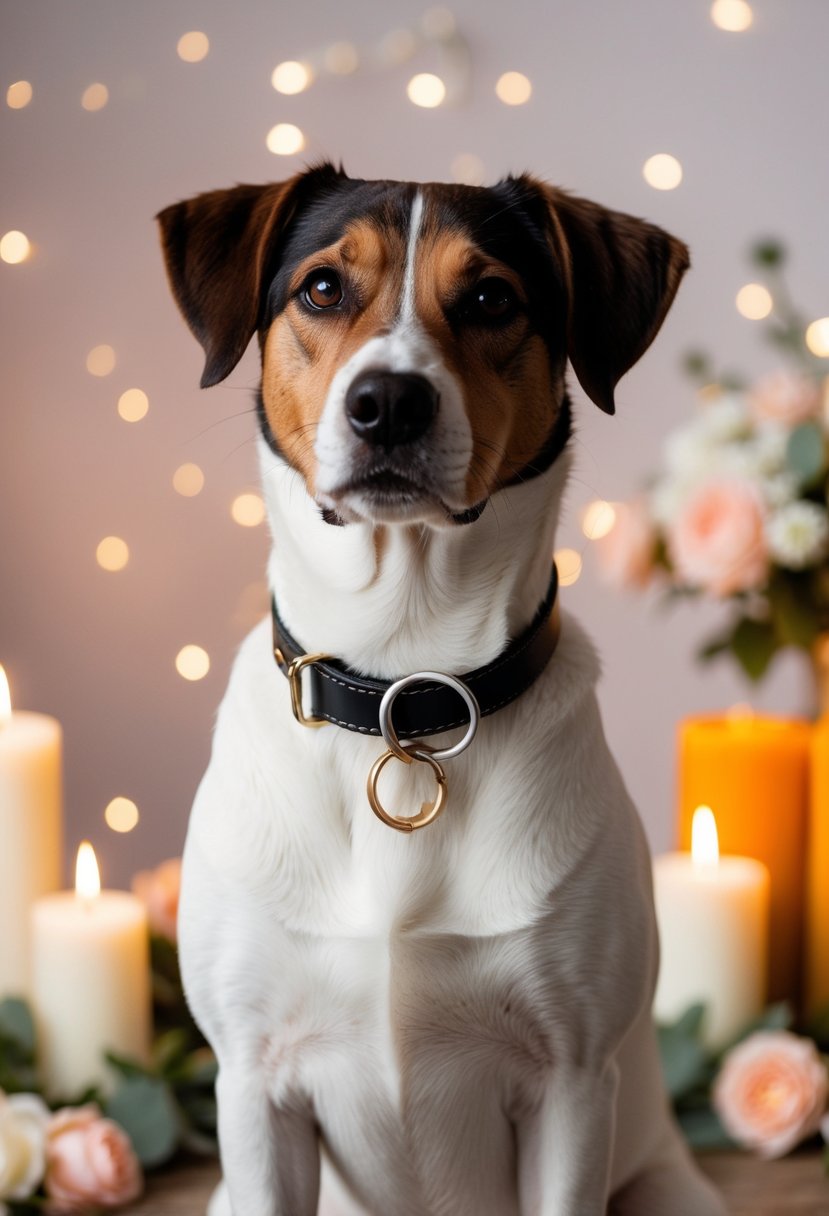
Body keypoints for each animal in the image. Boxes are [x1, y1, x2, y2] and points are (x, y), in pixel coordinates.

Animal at [156, 164, 724, 1216]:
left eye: (491, 298)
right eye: (323, 288)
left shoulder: (570, 1085)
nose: (388, 402)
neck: (400, 689)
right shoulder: (255, 1086)